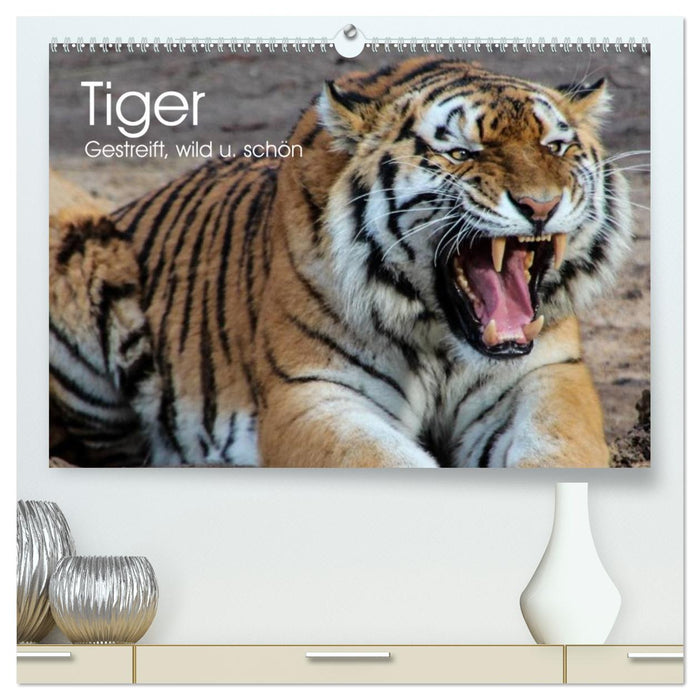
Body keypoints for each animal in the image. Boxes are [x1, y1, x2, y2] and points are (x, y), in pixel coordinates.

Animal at [49, 56, 633, 468]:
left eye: (555, 147)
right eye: (460, 154)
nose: (540, 206)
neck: (441, 337)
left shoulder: (546, 374)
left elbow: (560, 447)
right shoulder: (314, 393)